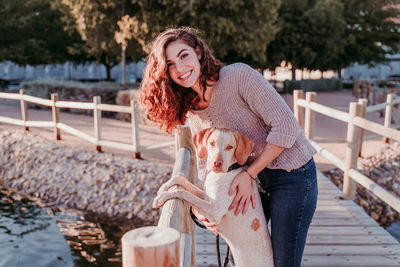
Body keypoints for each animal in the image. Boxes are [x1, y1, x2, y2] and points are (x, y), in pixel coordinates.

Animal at [152, 129, 274, 266]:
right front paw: (163, 187)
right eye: (212, 143)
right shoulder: (205, 196)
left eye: (229, 147)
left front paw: (163, 196)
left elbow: (183, 193)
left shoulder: (214, 211)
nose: (217, 163)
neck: (225, 172)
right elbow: (181, 180)